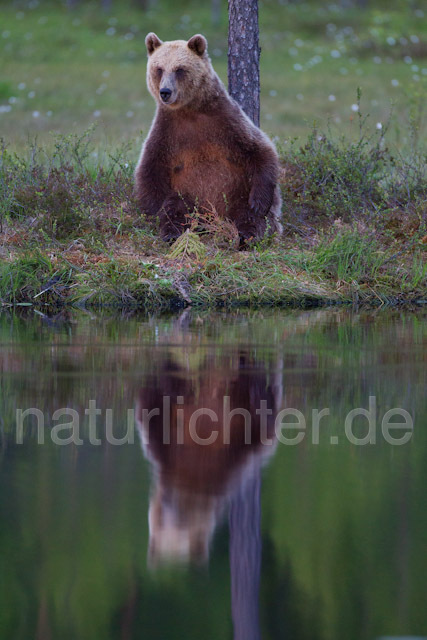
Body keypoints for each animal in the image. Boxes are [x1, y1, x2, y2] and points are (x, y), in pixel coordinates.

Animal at [135, 31, 282, 245]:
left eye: (180, 69)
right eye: (159, 68)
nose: (165, 92)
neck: (190, 111)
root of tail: (213, 219)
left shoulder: (226, 122)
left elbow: (260, 150)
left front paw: (259, 202)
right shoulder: (167, 132)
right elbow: (150, 168)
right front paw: (153, 211)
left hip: (237, 192)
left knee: (248, 214)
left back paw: (246, 234)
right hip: (187, 195)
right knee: (176, 208)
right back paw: (173, 232)